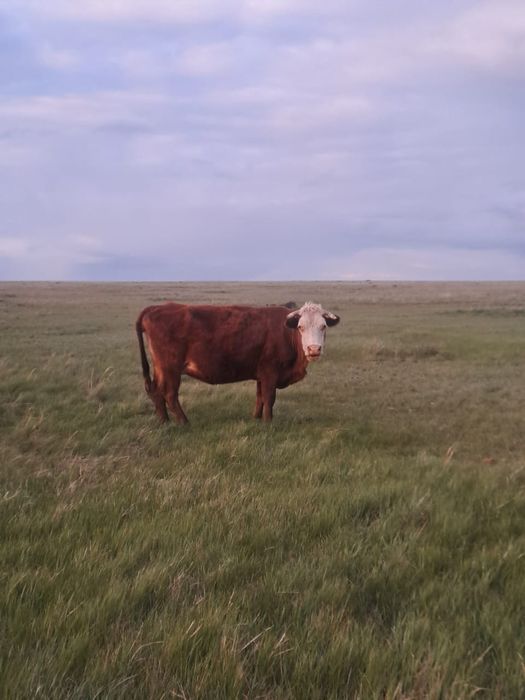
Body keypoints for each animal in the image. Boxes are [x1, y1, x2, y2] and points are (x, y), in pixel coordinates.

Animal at [136, 301, 340, 423]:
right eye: (300, 327)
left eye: (323, 326)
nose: (314, 349)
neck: (285, 331)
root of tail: (155, 308)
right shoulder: (270, 372)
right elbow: (269, 398)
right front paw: (268, 423)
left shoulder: (261, 374)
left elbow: (260, 397)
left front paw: (256, 419)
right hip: (170, 368)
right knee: (169, 394)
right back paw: (184, 422)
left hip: (161, 368)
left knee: (156, 391)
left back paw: (164, 421)